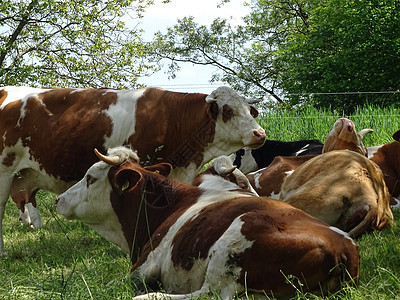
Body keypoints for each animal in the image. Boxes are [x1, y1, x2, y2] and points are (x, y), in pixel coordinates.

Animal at [55, 148, 360, 300]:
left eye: (90, 178)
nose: (58, 199)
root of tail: (342, 247)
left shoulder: (142, 268)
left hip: (228, 251)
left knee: (209, 295)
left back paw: (153, 296)